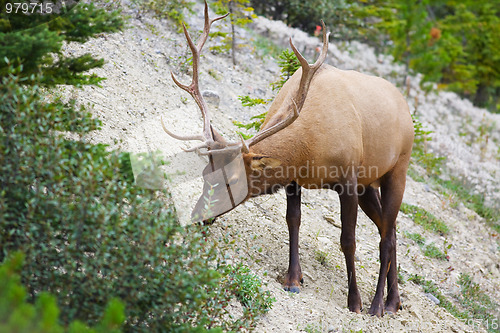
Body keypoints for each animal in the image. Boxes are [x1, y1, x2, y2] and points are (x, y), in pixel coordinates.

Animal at [161, 1, 414, 316]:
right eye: (206, 175)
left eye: (233, 180)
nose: (197, 217)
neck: (309, 147)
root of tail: (406, 107)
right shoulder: (296, 176)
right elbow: (293, 220)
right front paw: (293, 279)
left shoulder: (348, 179)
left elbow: (348, 241)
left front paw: (354, 301)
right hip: (370, 184)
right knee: (390, 231)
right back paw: (395, 300)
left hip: (397, 170)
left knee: (385, 238)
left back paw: (379, 304)